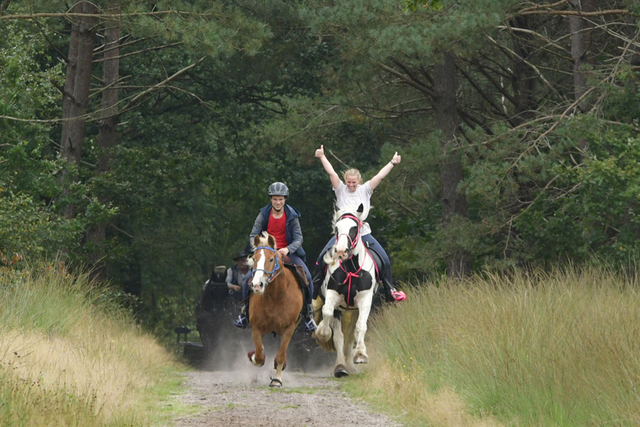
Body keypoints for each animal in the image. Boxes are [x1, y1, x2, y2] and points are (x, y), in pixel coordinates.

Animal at [246, 232, 304, 390]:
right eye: (254, 259)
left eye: (271, 259)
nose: (257, 285)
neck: (276, 296)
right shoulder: (256, 327)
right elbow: (259, 355)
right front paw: (253, 356)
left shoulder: (289, 328)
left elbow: (281, 355)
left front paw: (277, 380)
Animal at [316, 206, 380, 380]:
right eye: (337, 228)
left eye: (354, 228)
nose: (340, 251)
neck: (351, 268)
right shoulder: (332, 295)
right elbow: (327, 312)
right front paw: (322, 333)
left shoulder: (365, 300)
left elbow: (361, 326)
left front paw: (360, 355)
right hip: (341, 310)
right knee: (339, 337)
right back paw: (340, 367)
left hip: (354, 310)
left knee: (350, 335)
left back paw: (350, 365)